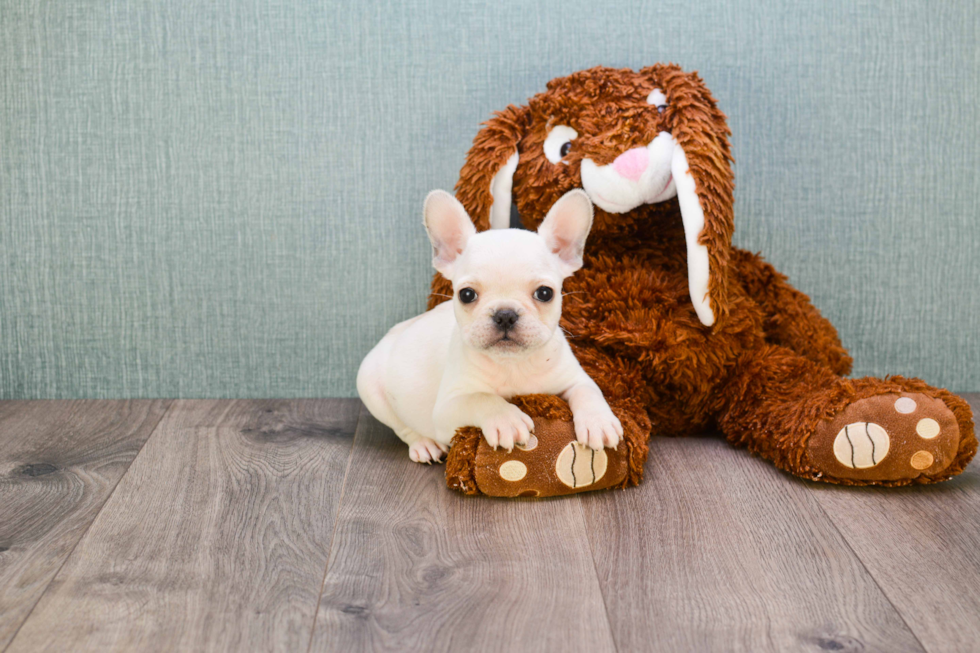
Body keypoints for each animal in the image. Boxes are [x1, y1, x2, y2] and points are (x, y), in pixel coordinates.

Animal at [358, 188, 620, 464]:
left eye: (545, 293)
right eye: (466, 294)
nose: (505, 314)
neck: (512, 363)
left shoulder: (574, 378)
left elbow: (589, 392)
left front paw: (599, 421)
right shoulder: (447, 409)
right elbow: (481, 398)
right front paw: (506, 419)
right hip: (369, 386)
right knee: (402, 427)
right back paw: (424, 445)